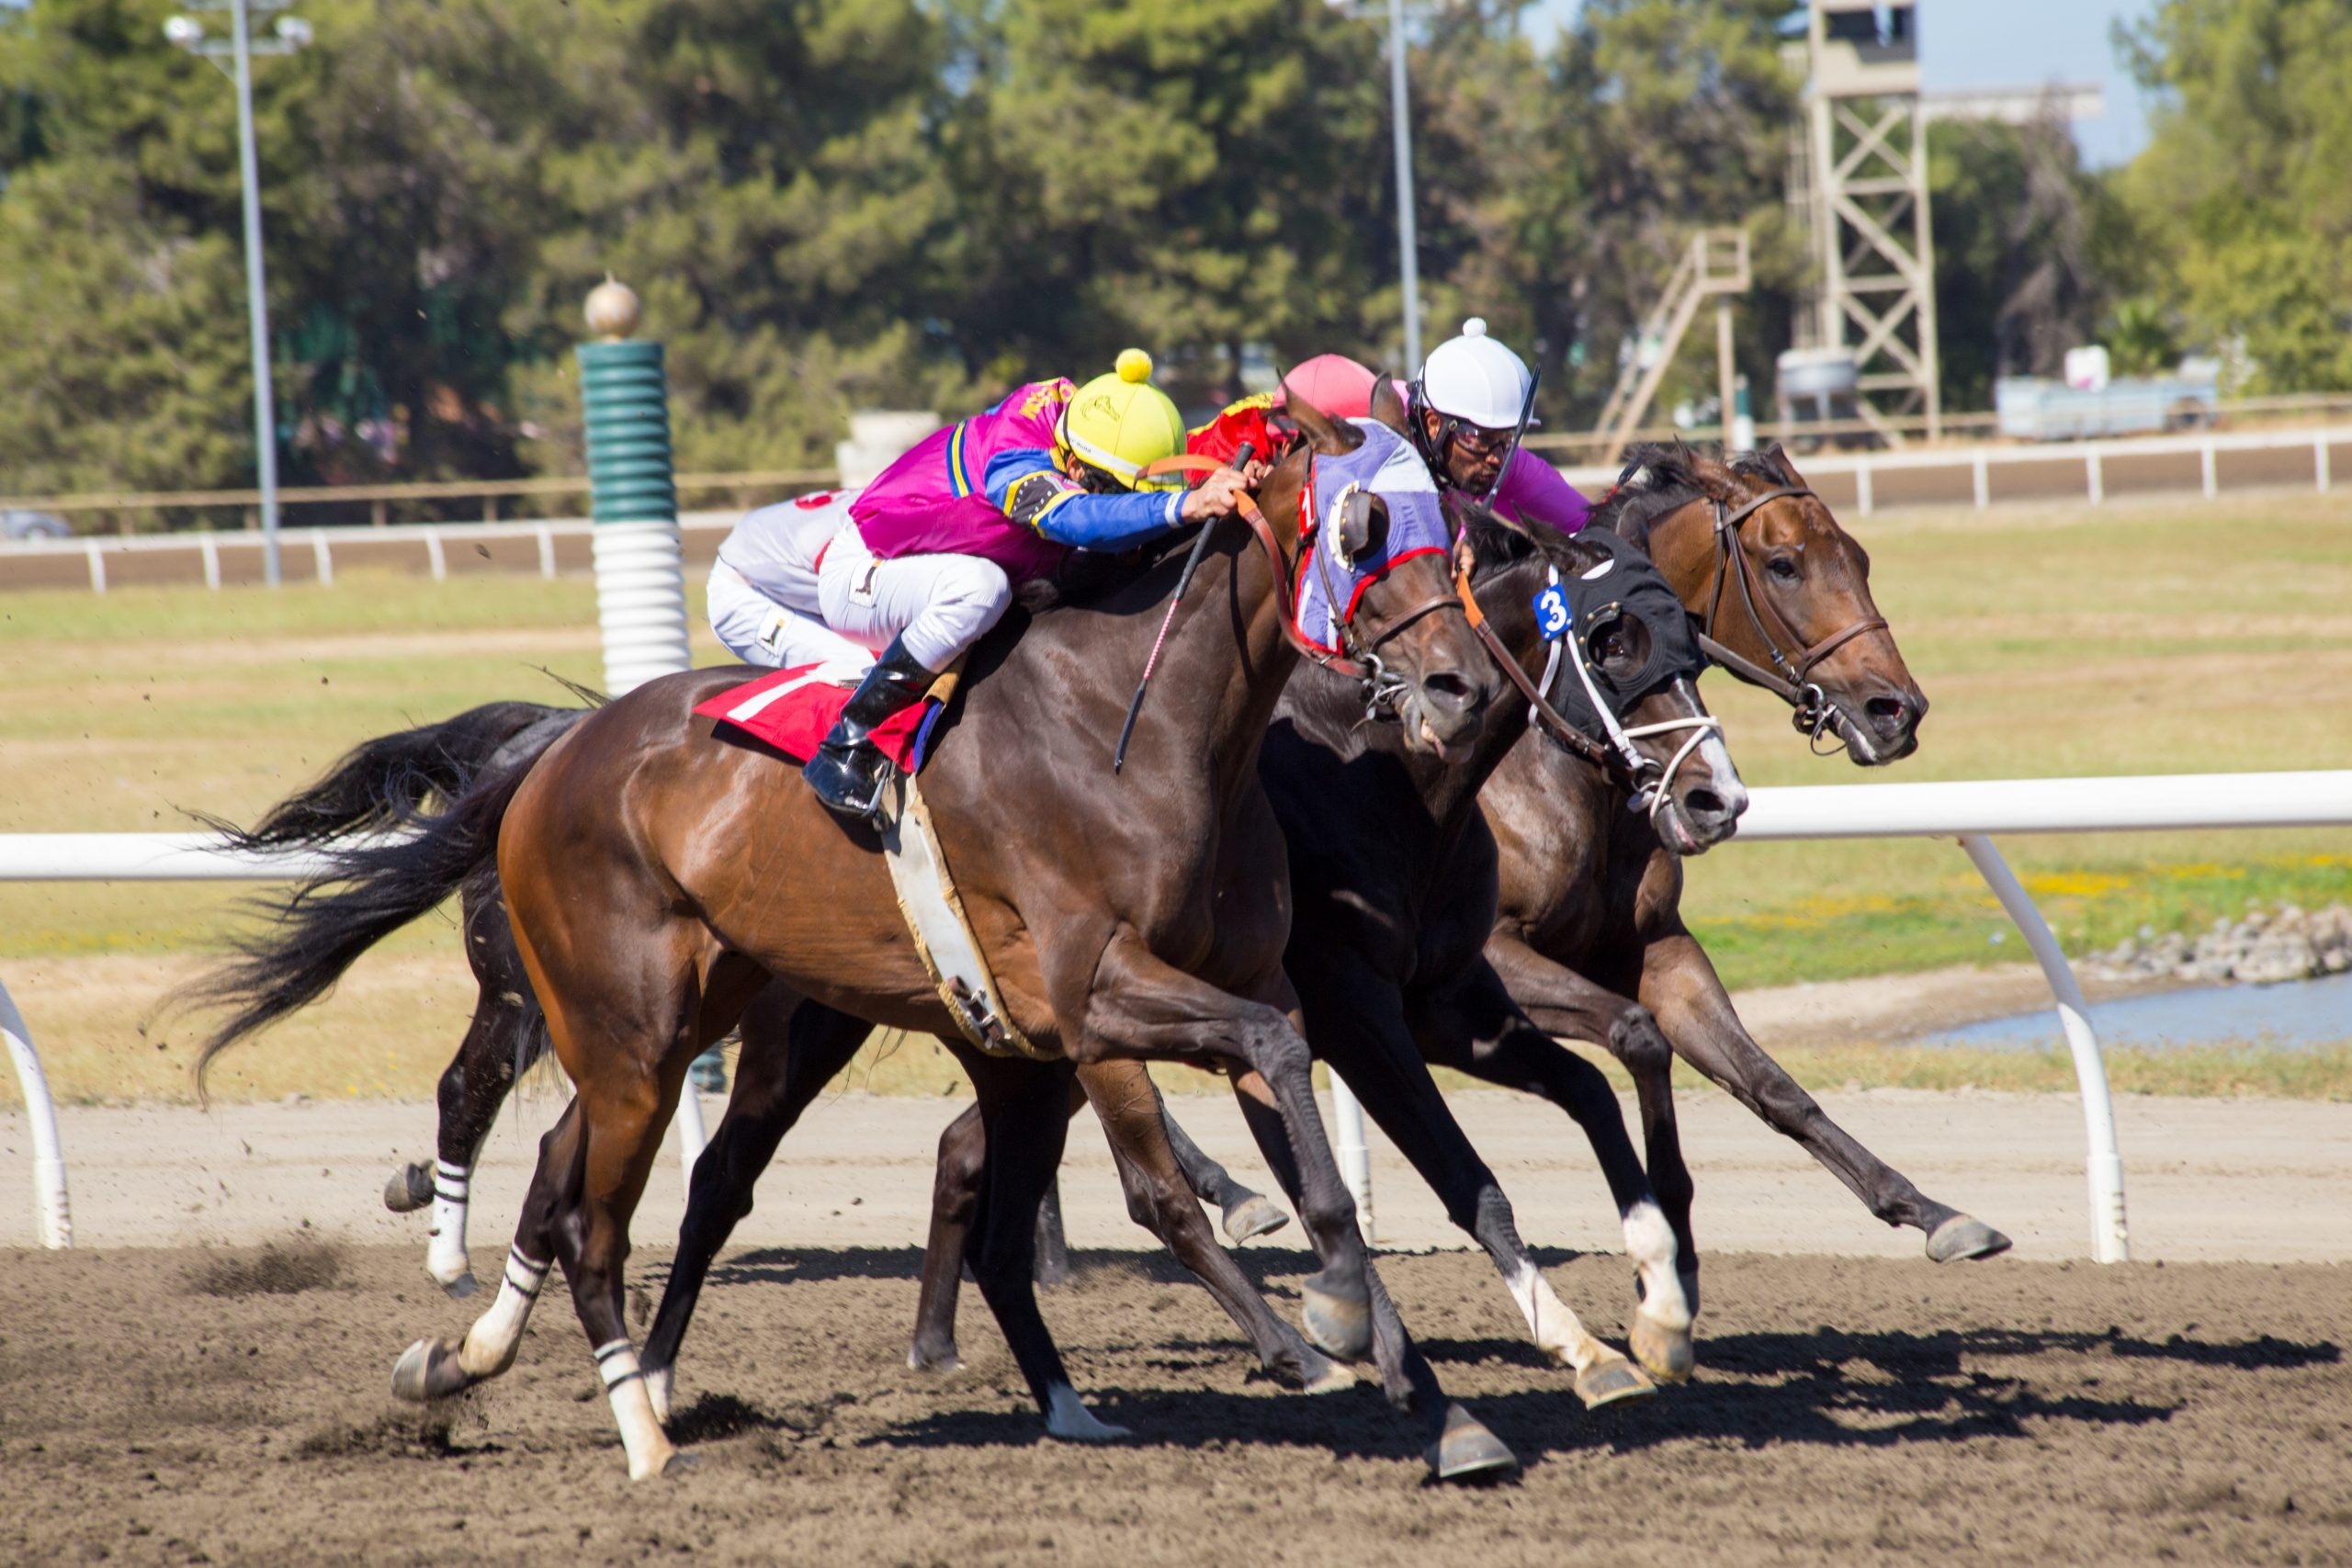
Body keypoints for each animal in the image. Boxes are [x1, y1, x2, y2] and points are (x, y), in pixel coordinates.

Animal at [187, 409, 1523, 1485]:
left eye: (1456, 527)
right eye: (1360, 522)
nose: (1463, 687)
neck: (1139, 733)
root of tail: (551, 753)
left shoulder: (1225, 986)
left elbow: (1305, 1139)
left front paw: (1429, 1395)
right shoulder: (1099, 998)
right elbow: (1175, 1180)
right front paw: (1314, 1340)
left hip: (692, 1019)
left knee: (572, 1170)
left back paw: (470, 1358)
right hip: (636, 1027)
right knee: (597, 1211)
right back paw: (639, 1430)